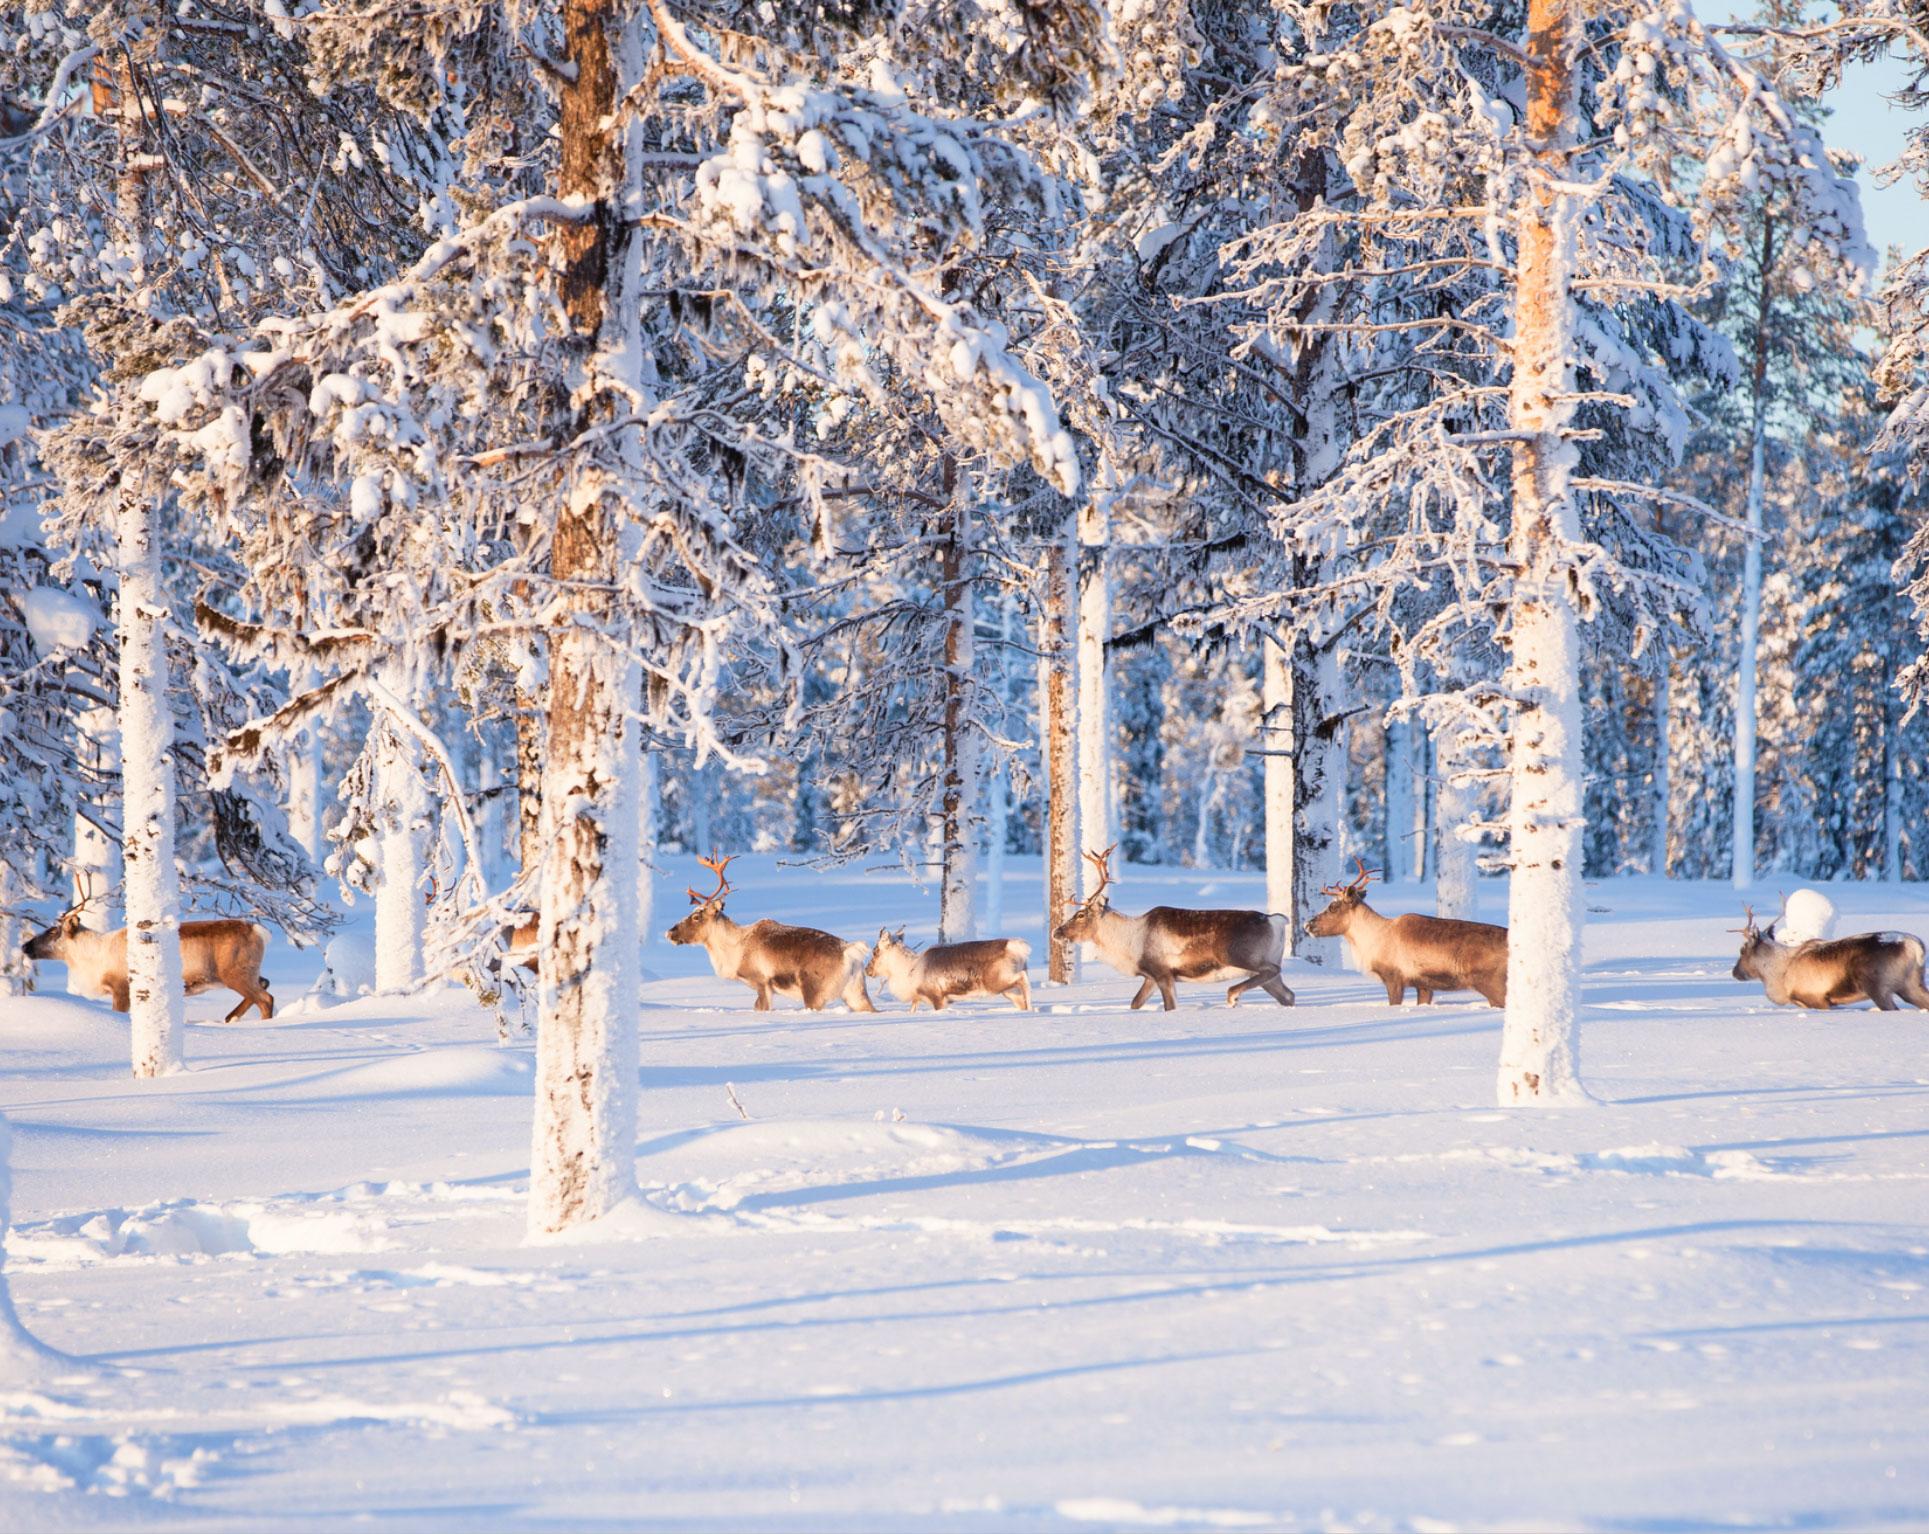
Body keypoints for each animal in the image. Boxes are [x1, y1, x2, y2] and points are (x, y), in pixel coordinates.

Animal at [23, 910, 275, 1018]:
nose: (25, 946)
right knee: (265, 984)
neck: (93, 957)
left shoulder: (121, 987)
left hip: (235, 974)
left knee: (265, 998)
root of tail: (260, 932)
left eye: (53, 931)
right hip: (246, 973)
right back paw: (230, 1017)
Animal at [868, 930, 1033, 1011]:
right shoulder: (918, 998)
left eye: (875, 951)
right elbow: (911, 1010)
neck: (908, 969)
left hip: (996, 981)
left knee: (1023, 978)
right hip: (1009, 990)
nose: (867, 970)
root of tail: (1017, 948)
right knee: (1021, 999)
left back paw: (1032, 1008)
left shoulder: (937, 997)